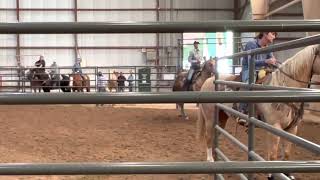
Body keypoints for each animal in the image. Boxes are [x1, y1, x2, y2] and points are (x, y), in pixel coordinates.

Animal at [198, 44, 320, 179]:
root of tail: (209, 81)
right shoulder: (274, 127)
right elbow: (273, 156)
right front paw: (272, 175)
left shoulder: (291, 128)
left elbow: (286, 153)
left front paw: (287, 175)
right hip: (209, 117)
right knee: (208, 136)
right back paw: (210, 160)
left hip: (222, 117)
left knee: (216, 135)